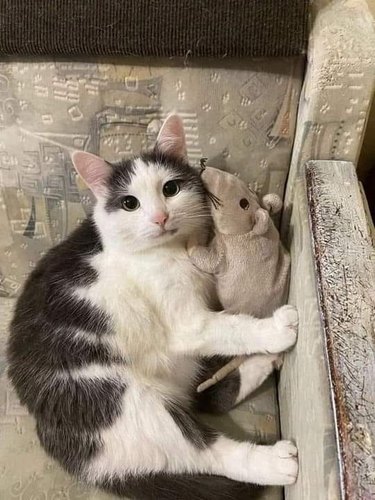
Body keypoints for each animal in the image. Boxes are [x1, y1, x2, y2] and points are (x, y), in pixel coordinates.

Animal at [6, 114, 300, 500]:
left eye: (170, 189)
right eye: (130, 204)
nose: (160, 217)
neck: (172, 249)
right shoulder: (187, 324)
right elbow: (229, 326)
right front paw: (273, 329)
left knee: (206, 399)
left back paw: (262, 364)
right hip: (126, 401)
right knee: (202, 450)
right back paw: (272, 462)